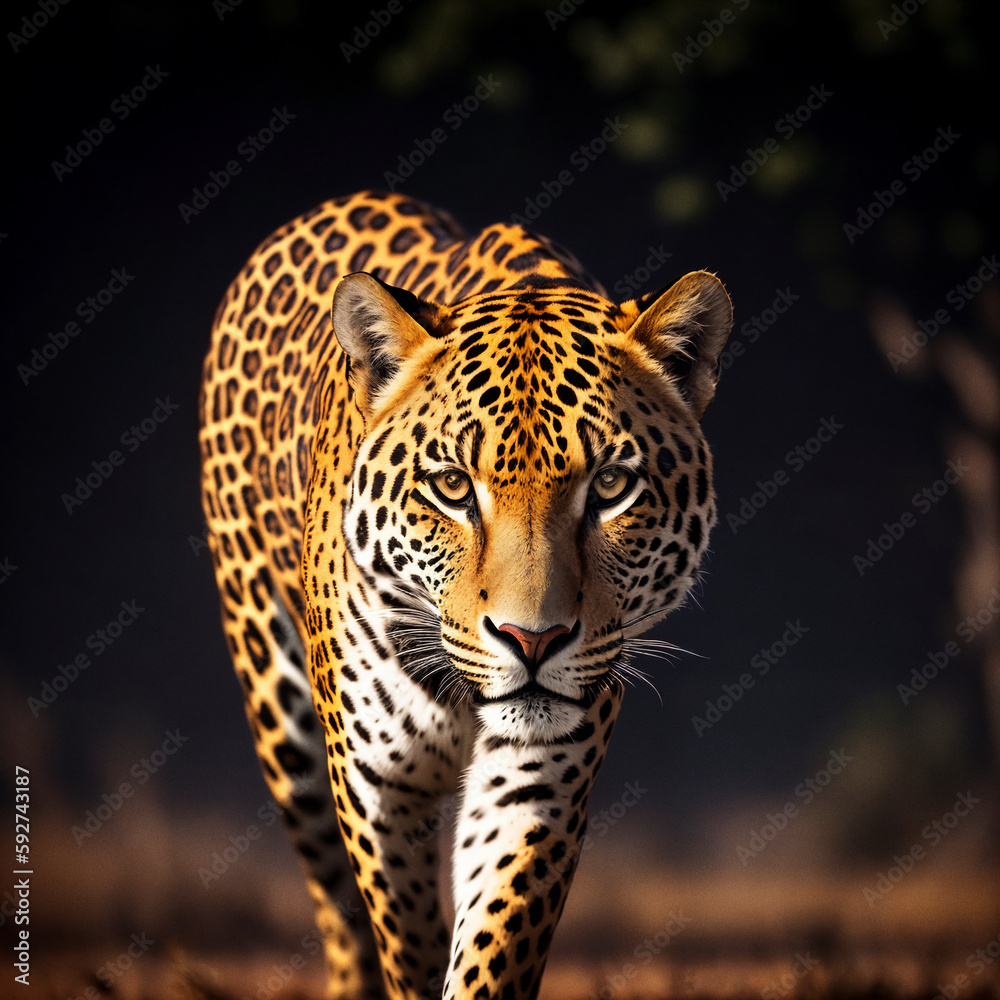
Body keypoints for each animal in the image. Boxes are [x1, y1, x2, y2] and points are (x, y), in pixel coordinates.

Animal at [199, 189, 731, 1000]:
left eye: (610, 485)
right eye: (452, 487)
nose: (533, 640)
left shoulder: (536, 778)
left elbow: (494, 943)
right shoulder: (376, 782)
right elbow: (404, 935)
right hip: (280, 713)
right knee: (338, 914)